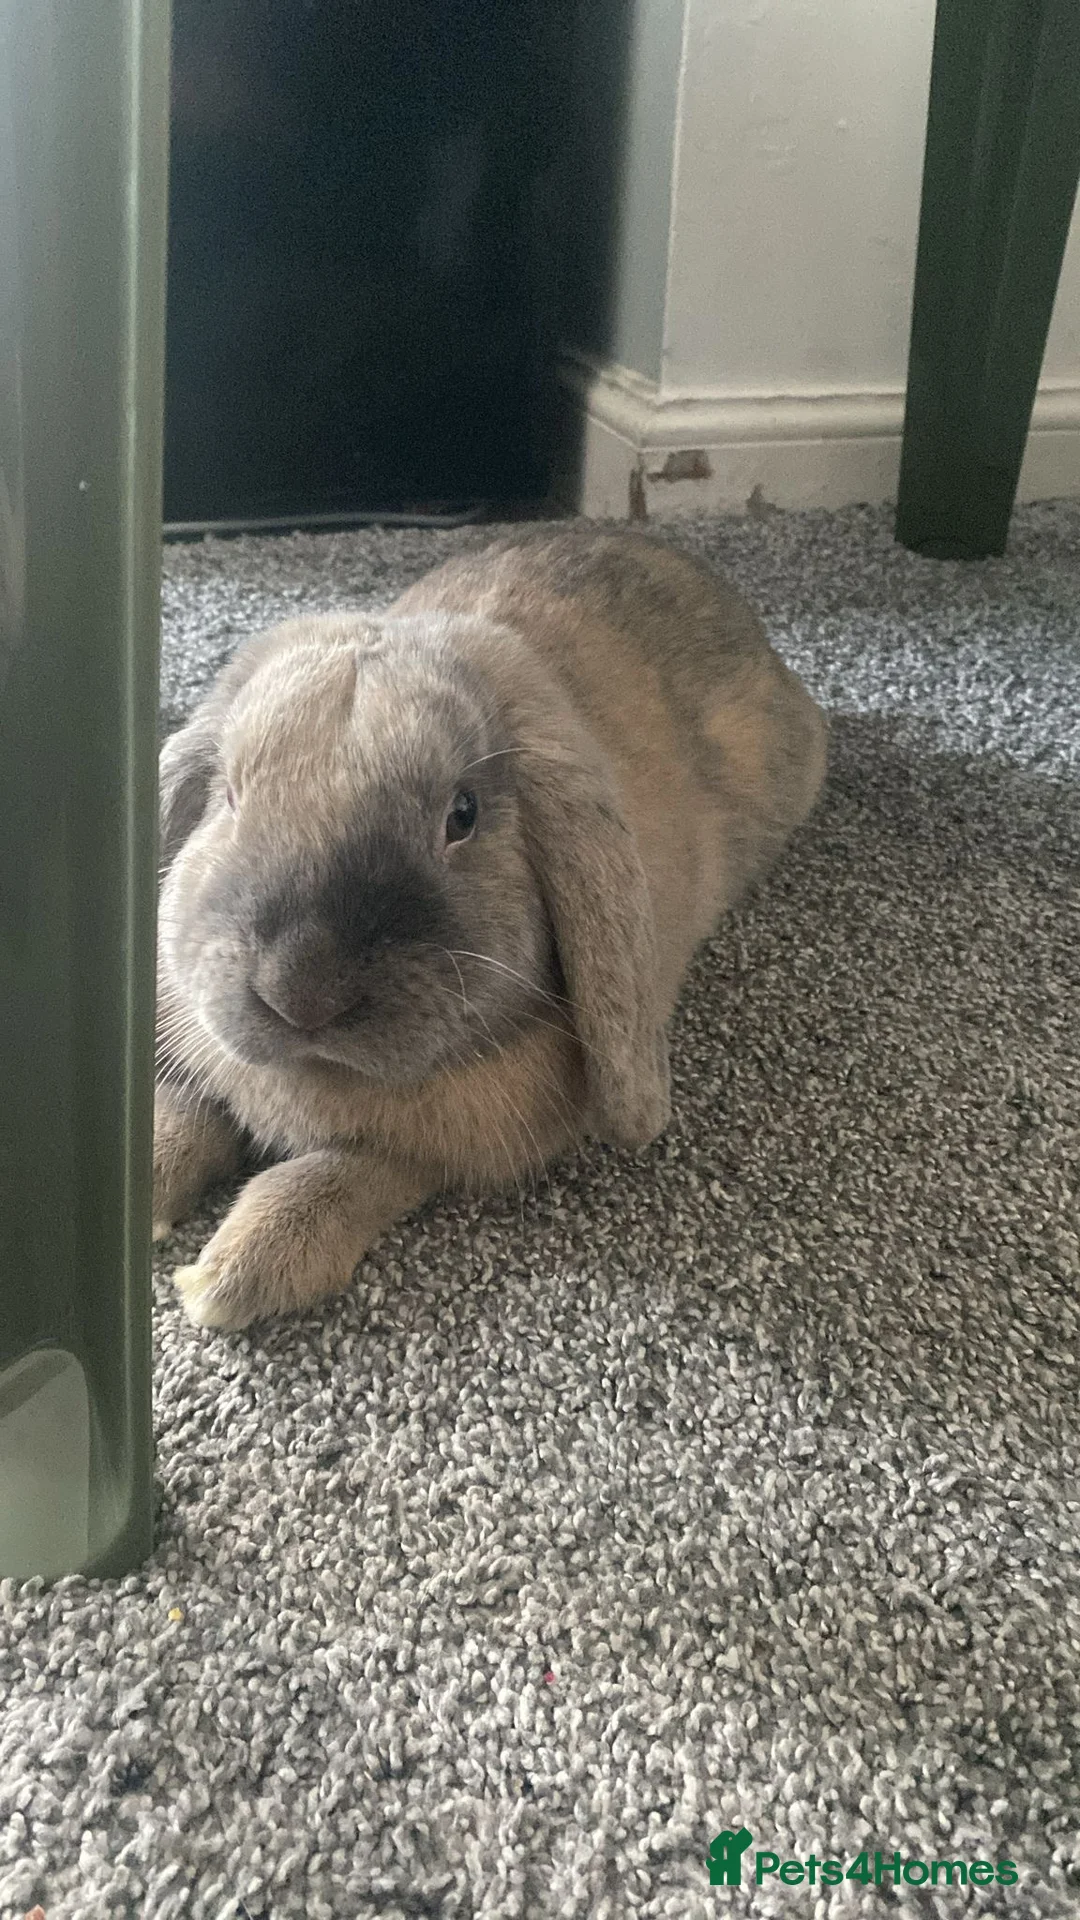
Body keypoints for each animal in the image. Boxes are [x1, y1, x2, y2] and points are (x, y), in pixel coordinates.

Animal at [154, 526, 827, 1330]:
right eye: (227, 796)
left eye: (463, 815)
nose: (300, 993)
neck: (317, 1075)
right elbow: (188, 1108)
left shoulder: (436, 1151)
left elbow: (345, 1173)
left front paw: (226, 1280)